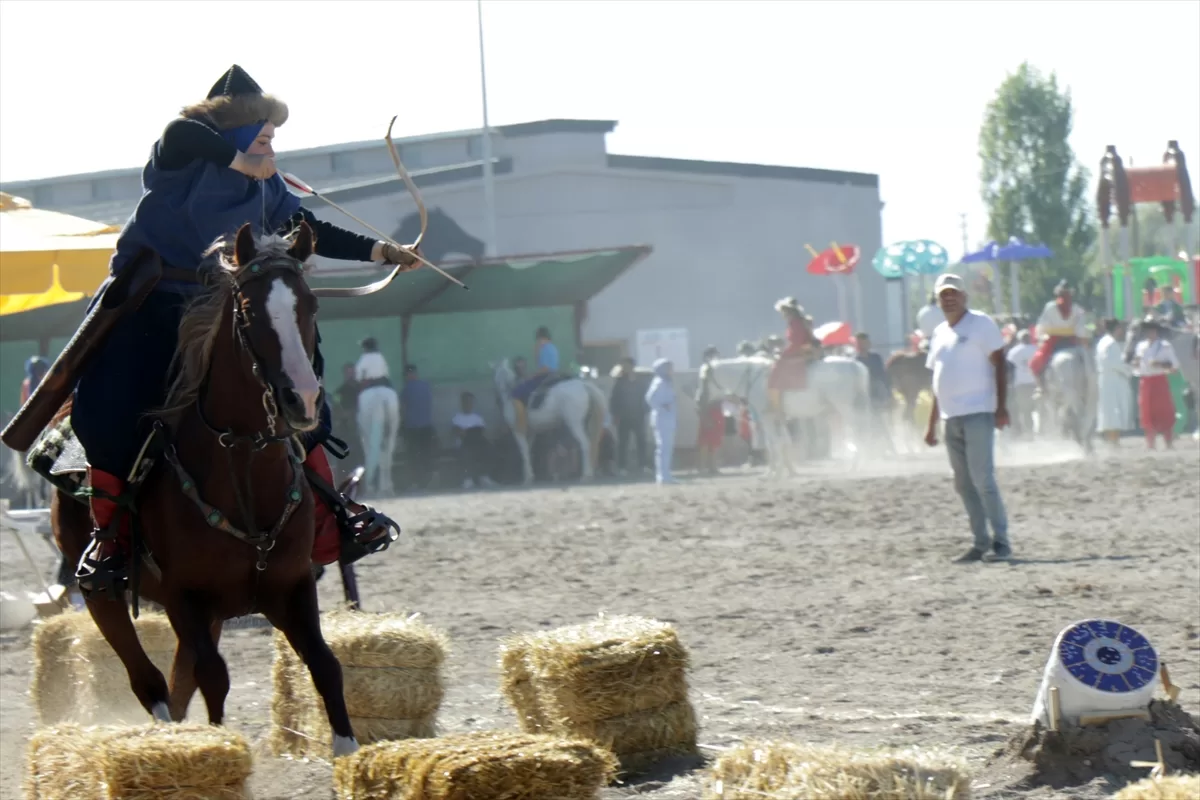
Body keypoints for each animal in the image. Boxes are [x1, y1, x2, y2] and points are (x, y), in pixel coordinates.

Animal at [51, 224, 360, 758]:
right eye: (249, 311)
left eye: (311, 304)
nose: (301, 399)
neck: (242, 468)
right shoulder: (184, 597)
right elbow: (213, 676)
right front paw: (211, 746)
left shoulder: (291, 587)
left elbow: (326, 665)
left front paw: (345, 751)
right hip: (99, 587)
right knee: (149, 679)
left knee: (178, 680)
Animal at [705, 355, 868, 474]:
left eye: (704, 378)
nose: (701, 399)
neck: (755, 379)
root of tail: (853, 364)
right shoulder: (779, 418)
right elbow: (784, 441)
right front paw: (789, 470)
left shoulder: (767, 418)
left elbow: (773, 443)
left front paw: (774, 472)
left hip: (845, 408)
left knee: (857, 431)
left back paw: (855, 464)